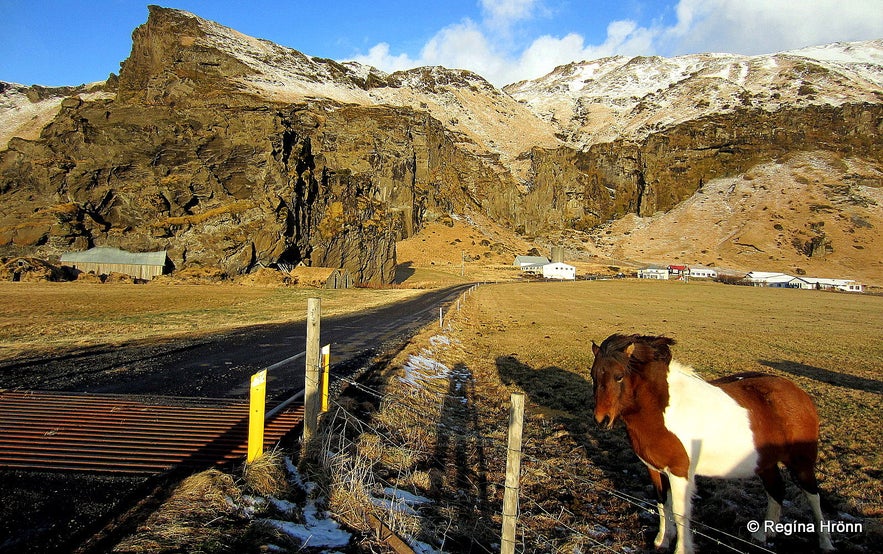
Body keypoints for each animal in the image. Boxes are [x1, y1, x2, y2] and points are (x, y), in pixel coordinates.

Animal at [592, 332, 832, 552]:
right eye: (594, 375)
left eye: (619, 376)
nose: (602, 419)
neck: (661, 408)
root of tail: (800, 394)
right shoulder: (654, 469)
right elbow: (662, 503)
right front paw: (662, 540)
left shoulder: (680, 473)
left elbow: (680, 512)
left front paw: (682, 549)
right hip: (766, 462)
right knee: (776, 490)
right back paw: (763, 535)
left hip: (801, 463)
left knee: (813, 496)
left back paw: (825, 543)